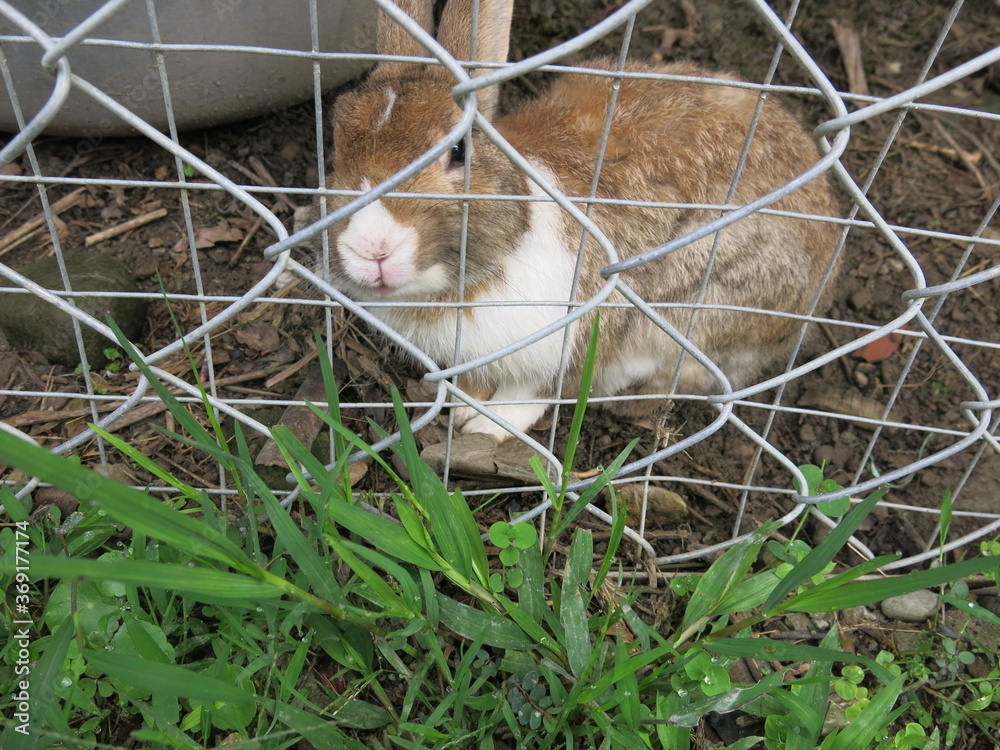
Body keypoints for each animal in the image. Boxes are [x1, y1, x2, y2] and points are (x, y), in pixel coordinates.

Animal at [310, 0, 841, 441]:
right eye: (334, 143)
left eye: (458, 151)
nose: (372, 247)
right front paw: (467, 404)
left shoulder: (579, 332)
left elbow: (538, 392)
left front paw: (486, 424)